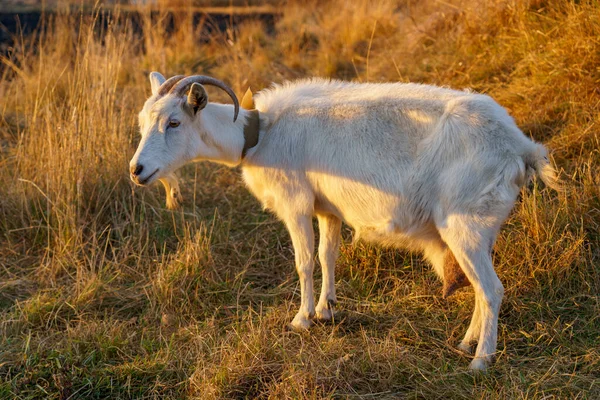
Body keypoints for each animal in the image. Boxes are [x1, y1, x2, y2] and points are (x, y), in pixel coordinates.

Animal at [129, 72, 560, 372]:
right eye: (143, 122)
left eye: (174, 123)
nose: (137, 170)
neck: (258, 133)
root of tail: (521, 148)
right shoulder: (327, 208)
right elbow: (327, 255)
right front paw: (326, 309)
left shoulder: (296, 202)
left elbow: (304, 261)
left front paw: (301, 319)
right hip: (479, 230)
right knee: (480, 289)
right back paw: (467, 343)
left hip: (464, 225)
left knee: (492, 289)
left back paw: (480, 360)